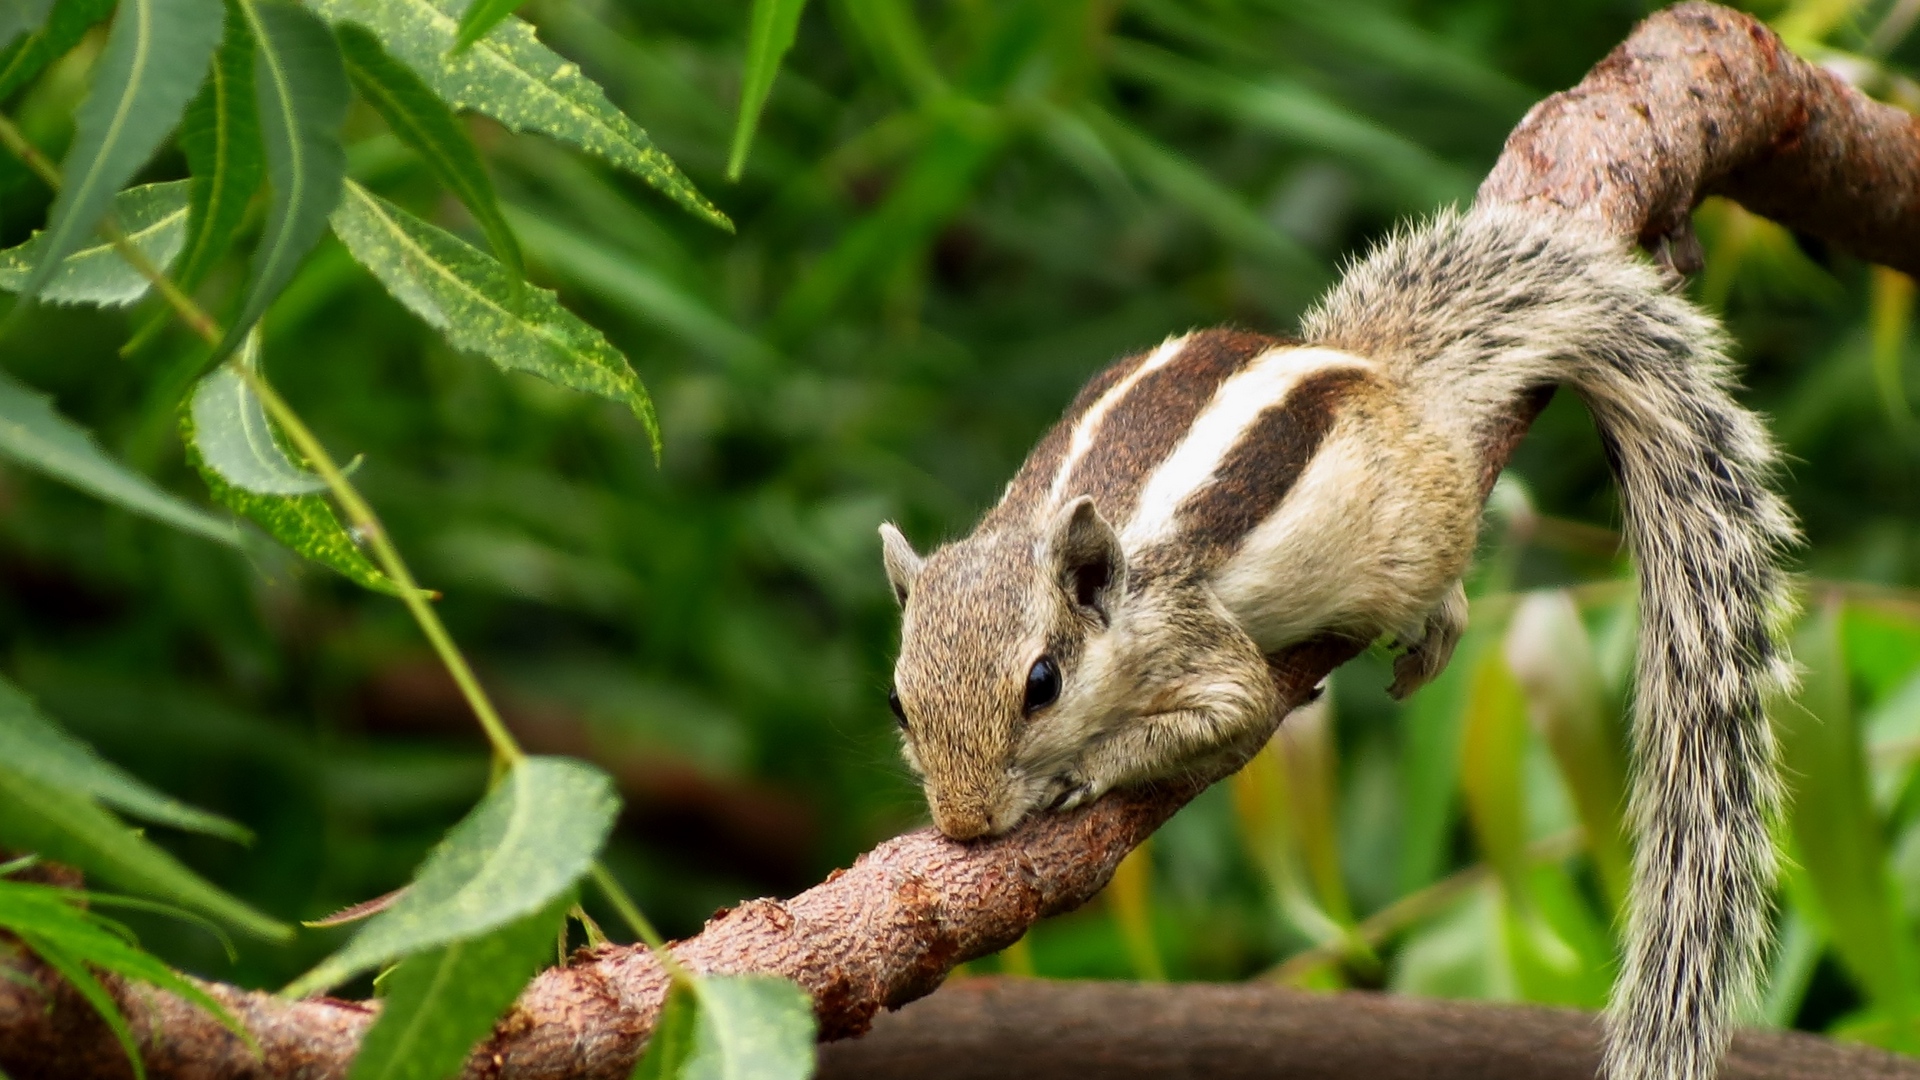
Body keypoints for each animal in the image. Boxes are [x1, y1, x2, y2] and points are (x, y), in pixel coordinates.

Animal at [878, 203, 1795, 1080]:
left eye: (1042, 684)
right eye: (897, 701)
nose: (964, 823)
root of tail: (1377, 368)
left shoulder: (1192, 637)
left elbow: (1236, 710)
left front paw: (1086, 769)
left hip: (1416, 533)